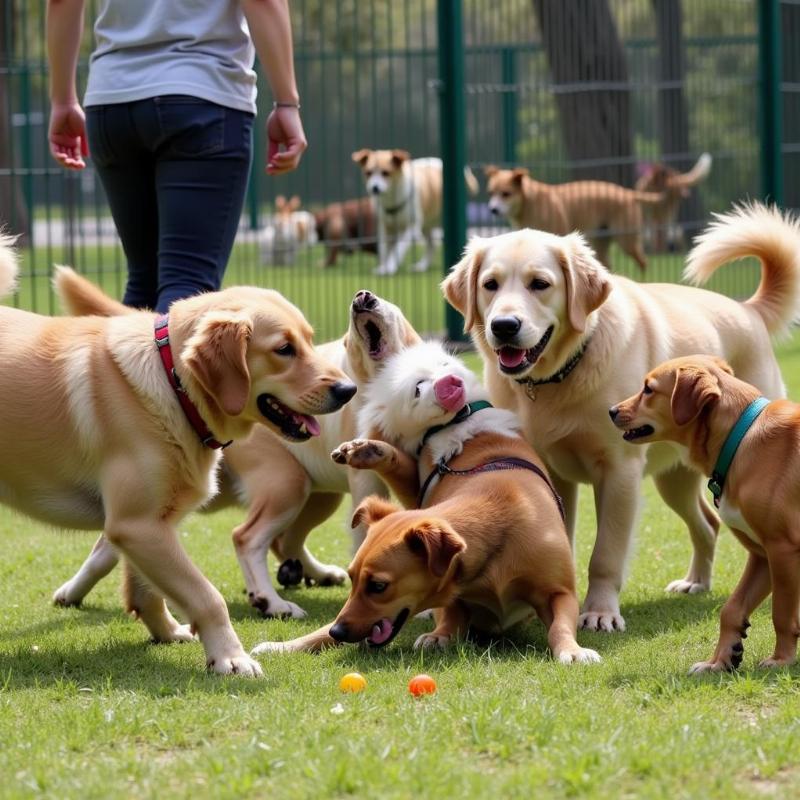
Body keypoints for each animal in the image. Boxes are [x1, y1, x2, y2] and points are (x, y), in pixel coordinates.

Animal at [0, 233, 356, 676]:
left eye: (309, 339)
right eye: (284, 349)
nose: (348, 390)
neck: (172, 385)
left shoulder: (148, 523)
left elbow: (147, 590)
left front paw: (167, 633)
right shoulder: (138, 524)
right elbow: (206, 596)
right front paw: (231, 657)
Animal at [444, 203, 800, 636]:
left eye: (539, 284)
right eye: (490, 284)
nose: (504, 326)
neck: (557, 378)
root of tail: (748, 309)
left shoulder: (618, 472)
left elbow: (606, 554)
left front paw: (599, 612)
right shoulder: (547, 473)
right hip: (675, 479)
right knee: (707, 523)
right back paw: (696, 582)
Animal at [608, 354, 796, 672]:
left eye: (648, 389)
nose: (611, 411)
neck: (741, 438)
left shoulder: (783, 550)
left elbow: (782, 613)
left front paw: (781, 659)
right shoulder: (762, 555)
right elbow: (732, 608)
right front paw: (720, 660)